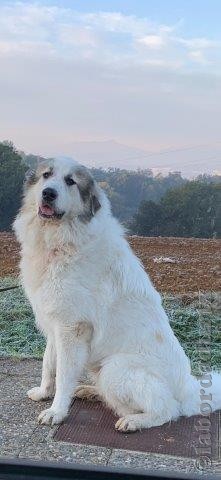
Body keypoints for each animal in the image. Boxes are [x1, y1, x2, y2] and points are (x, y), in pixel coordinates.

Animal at [13, 158, 221, 432]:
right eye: (46, 175)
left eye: (70, 181)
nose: (48, 193)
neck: (61, 241)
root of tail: (189, 391)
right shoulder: (55, 325)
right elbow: (48, 365)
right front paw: (43, 393)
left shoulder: (71, 329)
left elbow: (64, 376)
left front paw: (57, 411)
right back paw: (90, 391)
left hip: (114, 369)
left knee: (167, 410)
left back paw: (133, 420)